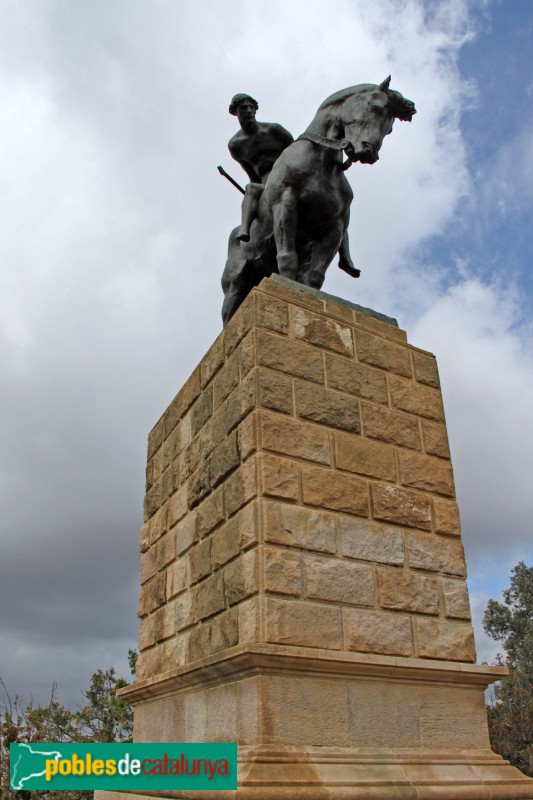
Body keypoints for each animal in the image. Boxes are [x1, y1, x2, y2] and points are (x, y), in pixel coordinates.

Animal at [220, 76, 416, 324]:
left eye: (390, 128)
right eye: (375, 107)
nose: (368, 152)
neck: (320, 163)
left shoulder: (335, 227)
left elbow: (315, 276)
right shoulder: (286, 206)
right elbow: (287, 258)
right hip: (235, 284)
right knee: (228, 313)